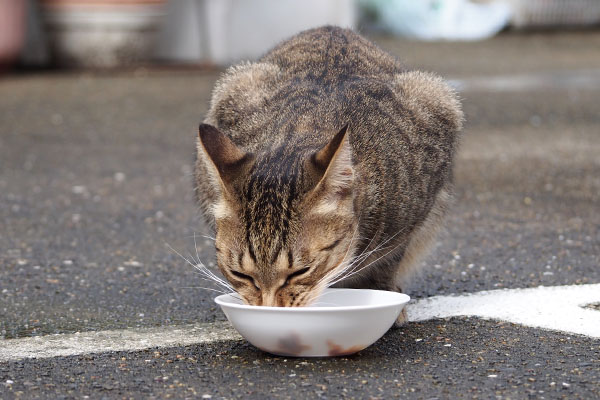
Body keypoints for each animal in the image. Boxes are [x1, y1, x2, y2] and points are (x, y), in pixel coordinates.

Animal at [195, 25, 462, 310]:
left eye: (301, 271)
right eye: (240, 274)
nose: (269, 308)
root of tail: (332, 28)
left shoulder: (410, 224)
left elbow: (388, 261)